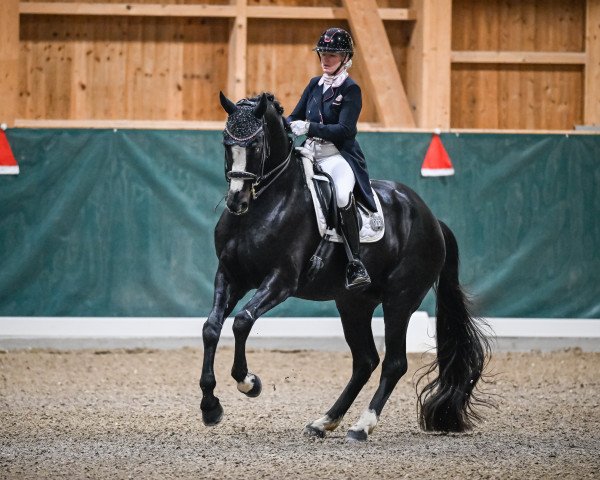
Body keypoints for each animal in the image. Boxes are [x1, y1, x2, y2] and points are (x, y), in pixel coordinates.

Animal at [199, 92, 490, 440]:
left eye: (255, 145)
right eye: (226, 142)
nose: (236, 201)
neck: (265, 205)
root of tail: (432, 219)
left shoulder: (281, 280)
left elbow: (242, 321)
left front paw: (249, 382)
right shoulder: (230, 276)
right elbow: (211, 328)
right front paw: (210, 407)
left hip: (400, 300)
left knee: (394, 363)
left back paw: (362, 426)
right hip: (353, 303)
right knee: (365, 361)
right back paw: (324, 421)